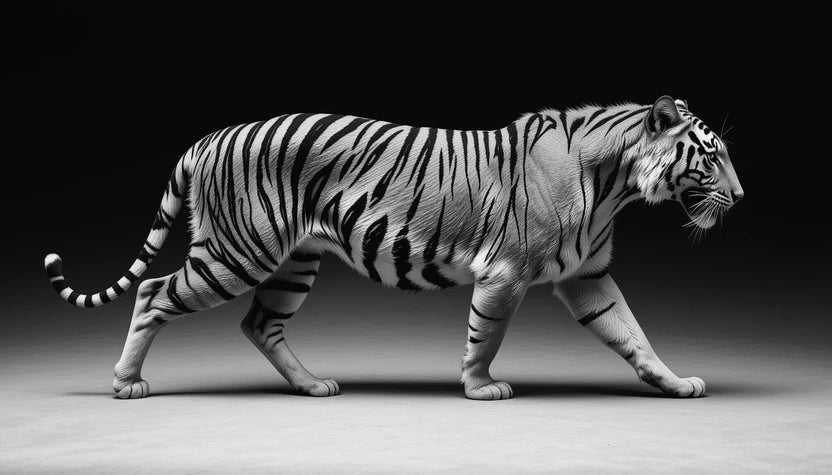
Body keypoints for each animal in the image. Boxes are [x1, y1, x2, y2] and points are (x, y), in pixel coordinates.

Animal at [44, 95, 743, 400]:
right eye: (710, 158)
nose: (740, 197)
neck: (615, 185)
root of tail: (203, 139)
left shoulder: (588, 276)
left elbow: (632, 333)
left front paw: (675, 382)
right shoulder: (506, 274)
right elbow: (486, 334)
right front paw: (480, 387)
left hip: (293, 262)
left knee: (259, 323)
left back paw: (313, 386)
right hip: (235, 254)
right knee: (151, 291)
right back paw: (126, 383)